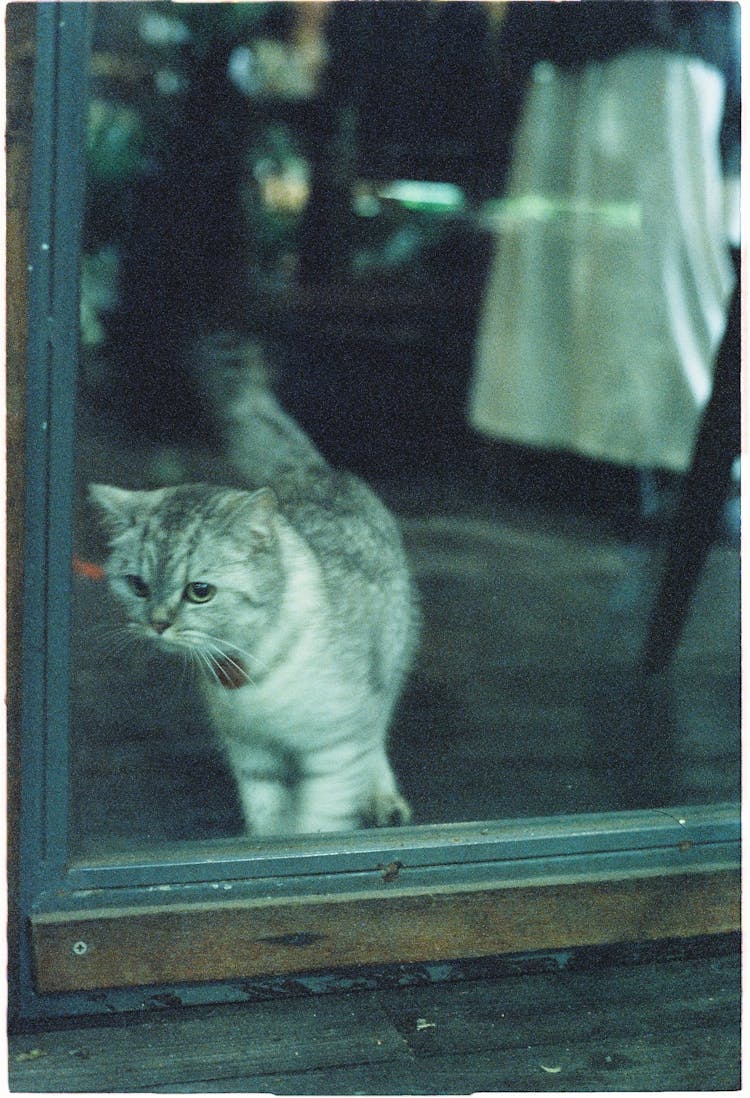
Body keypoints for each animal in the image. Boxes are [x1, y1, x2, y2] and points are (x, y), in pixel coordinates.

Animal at [89, 338, 417, 834]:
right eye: (138, 586)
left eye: (199, 591)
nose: (158, 624)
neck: (249, 673)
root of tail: (314, 469)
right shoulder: (253, 759)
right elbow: (268, 824)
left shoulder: (334, 752)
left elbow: (314, 826)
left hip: (385, 673)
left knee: (375, 734)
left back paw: (382, 796)